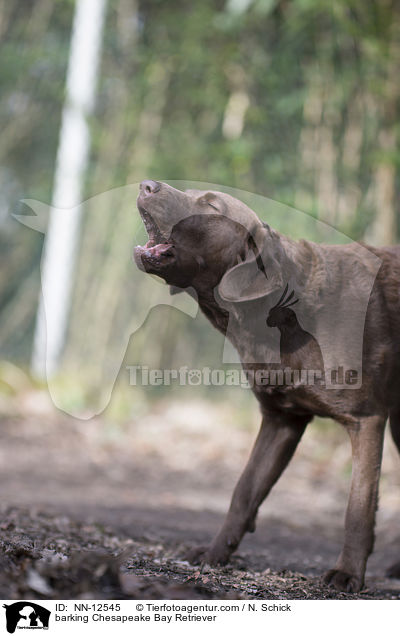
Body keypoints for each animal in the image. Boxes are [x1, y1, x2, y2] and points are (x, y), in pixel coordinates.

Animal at [134, 178, 400, 592]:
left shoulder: (367, 418)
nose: (147, 184)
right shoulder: (281, 419)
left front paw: (348, 573)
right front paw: (215, 553)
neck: (281, 314)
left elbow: (359, 503)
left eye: (211, 205)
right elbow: (244, 491)